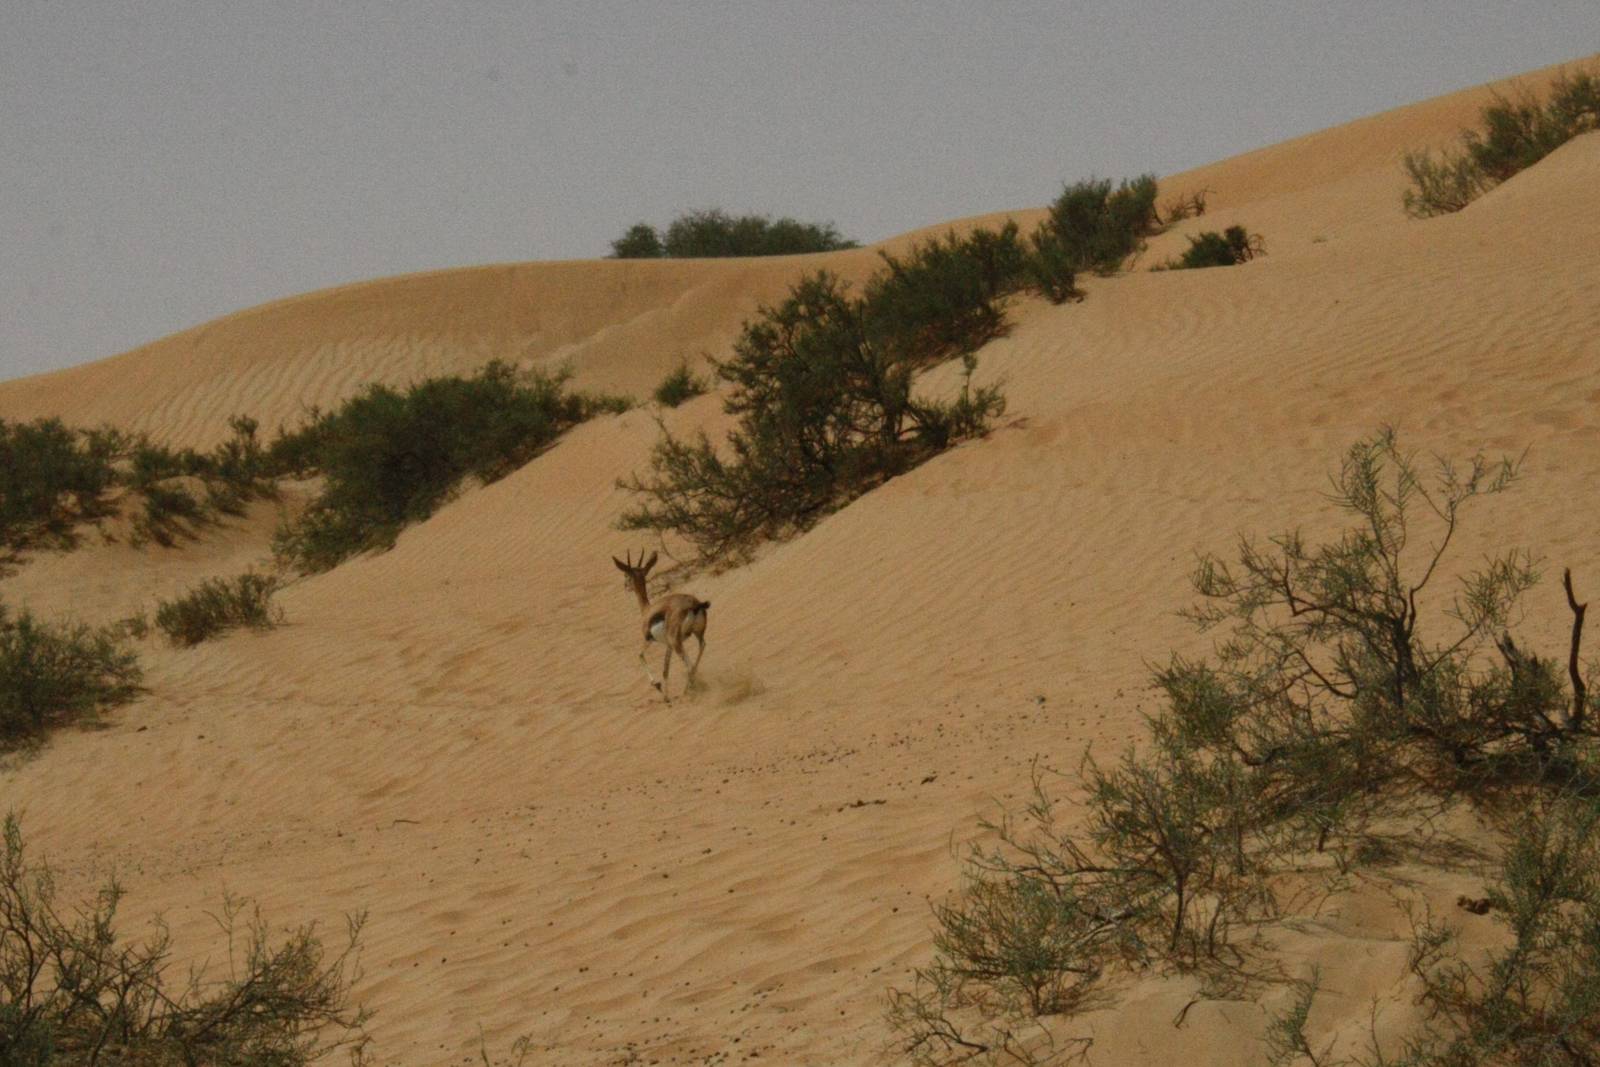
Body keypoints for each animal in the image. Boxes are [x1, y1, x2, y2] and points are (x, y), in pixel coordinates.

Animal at [613, 550, 709, 702]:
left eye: (626, 575)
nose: (625, 586)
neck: (647, 610)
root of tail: (694, 604)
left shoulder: (649, 639)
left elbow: (640, 655)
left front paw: (657, 686)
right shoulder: (668, 645)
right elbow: (665, 669)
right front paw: (666, 696)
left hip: (677, 642)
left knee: (689, 667)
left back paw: (687, 692)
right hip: (695, 635)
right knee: (699, 653)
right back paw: (688, 690)